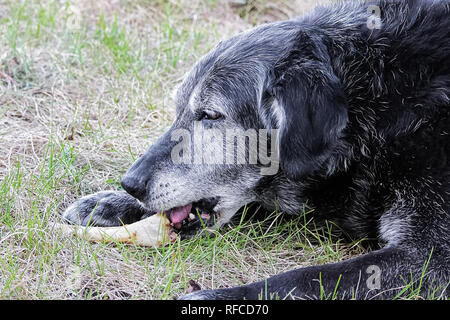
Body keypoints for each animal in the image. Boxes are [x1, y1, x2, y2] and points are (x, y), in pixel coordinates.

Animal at [63, 0, 450, 300]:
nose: (130, 184)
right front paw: (112, 203)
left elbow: (305, 278)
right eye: (178, 110)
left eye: (210, 115)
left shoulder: (430, 257)